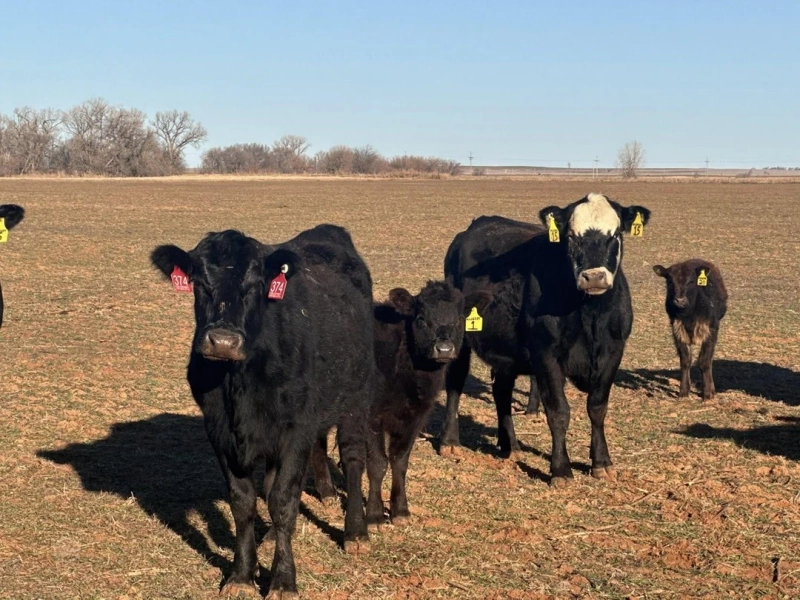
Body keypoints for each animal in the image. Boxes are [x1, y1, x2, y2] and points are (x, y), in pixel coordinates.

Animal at [151, 224, 375, 599]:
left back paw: (356, 532)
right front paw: (243, 574)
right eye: (199, 282)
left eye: (256, 284)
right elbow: (244, 501)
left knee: (353, 459)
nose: (223, 342)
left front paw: (283, 579)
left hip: (356, 399)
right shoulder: (220, 431)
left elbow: (283, 500)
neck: (238, 380)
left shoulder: (296, 430)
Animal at [310, 280, 466, 527]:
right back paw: (327, 492)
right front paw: (374, 514)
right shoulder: (371, 417)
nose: (444, 349)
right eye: (421, 318)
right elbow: (377, 463)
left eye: (459, 318)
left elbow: (400, 461)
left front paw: (400, 510)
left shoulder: (416, 416)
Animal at [439, 193, 651, 486]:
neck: (590, 313)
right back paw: (450, 441)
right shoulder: (546, 354)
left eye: (616, 234)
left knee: (501, 391)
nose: (594, 276)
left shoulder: (613, 352)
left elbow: (597, 407)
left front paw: (602, 462)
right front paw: (561, 469)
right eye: (571, 237)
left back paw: (510, 446)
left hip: (507, 352)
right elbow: (559, 411)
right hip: (459, 338)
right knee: (455, 382)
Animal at [653, 259, 728, 399]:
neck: (689, 315)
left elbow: (704, 361)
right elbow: (685, 360)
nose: (679, 300)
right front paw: (683, 391)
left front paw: (707, 393)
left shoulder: (711, 329)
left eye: (691, 282)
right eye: (670, 282)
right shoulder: (677, 329)